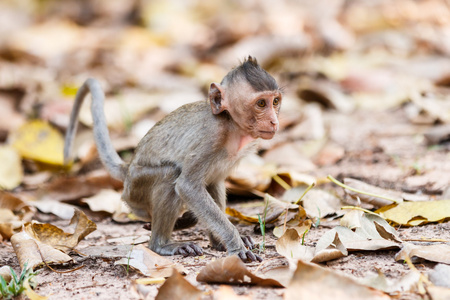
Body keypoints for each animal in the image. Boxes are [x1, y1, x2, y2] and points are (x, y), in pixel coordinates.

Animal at [64, 56, 282, 262]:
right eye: (261, 103)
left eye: (275, 101)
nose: (274, 121)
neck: (231, 125)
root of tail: (128, 168)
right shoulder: (211, 138)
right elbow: (187, 186)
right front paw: (235, 246)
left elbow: (213, 182)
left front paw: (223, 241)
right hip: (135, 189)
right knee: (170, 175)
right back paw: (161, 245)